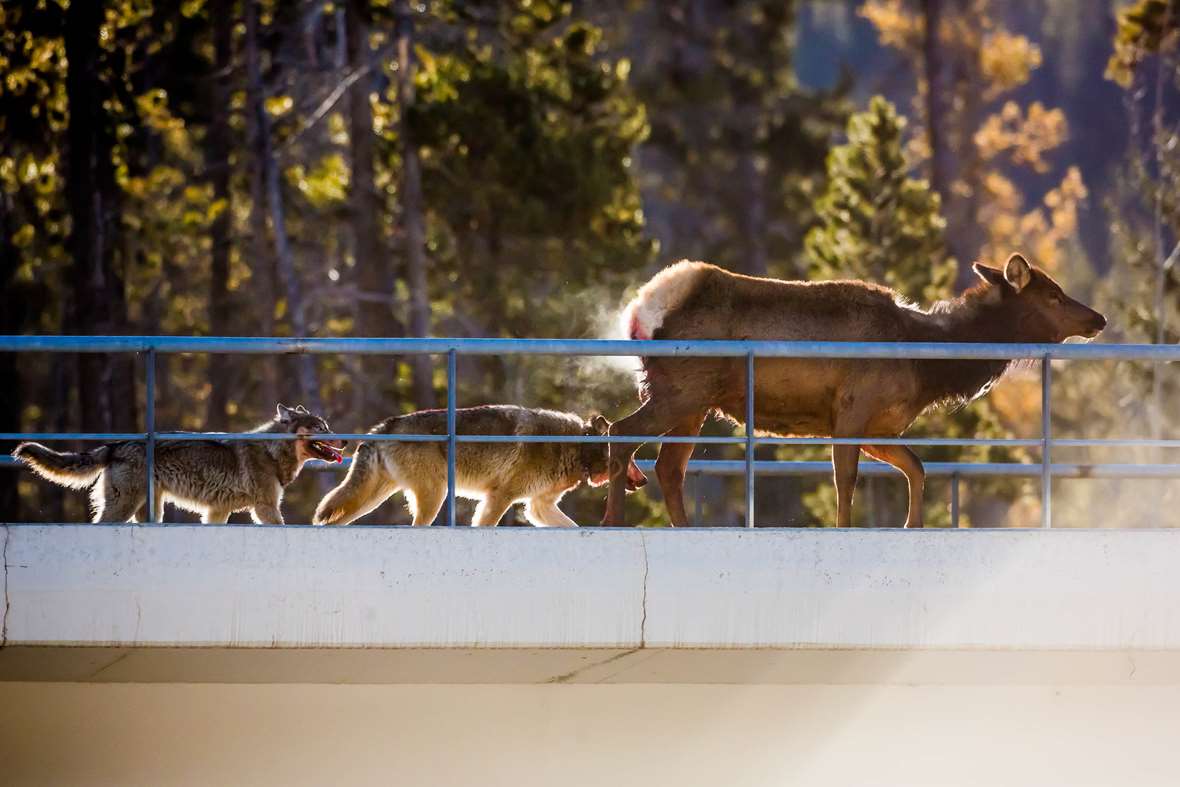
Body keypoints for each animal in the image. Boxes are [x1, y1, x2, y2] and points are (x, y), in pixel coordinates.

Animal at [13, 403, 344, 526]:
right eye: (321, 427)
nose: (345, 439)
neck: (273, 451)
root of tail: (116, 444)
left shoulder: (217, 512)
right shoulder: (266, 508)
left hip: (150, 510)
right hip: (125, 507)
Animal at [313, 405, 646, 528]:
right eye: (630, 456)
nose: (644, 481)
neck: (577, 447)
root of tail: (384, 427)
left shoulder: (538, 507)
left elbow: (572, 527)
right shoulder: (500, 498)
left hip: (371, 501)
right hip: (435, 496)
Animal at [604, 252, 1109, 528]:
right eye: (1053, 296)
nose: (1099, 319)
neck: (926, 365)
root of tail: (639, 311)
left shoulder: (879, 427)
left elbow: (916, 467)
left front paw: (912, 525)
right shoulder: (851, 410)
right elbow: (845, 479)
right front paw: (845, 527)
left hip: (695, 403)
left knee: (668, 467)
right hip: (680, 391)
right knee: (618, 433)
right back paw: (613, 520)